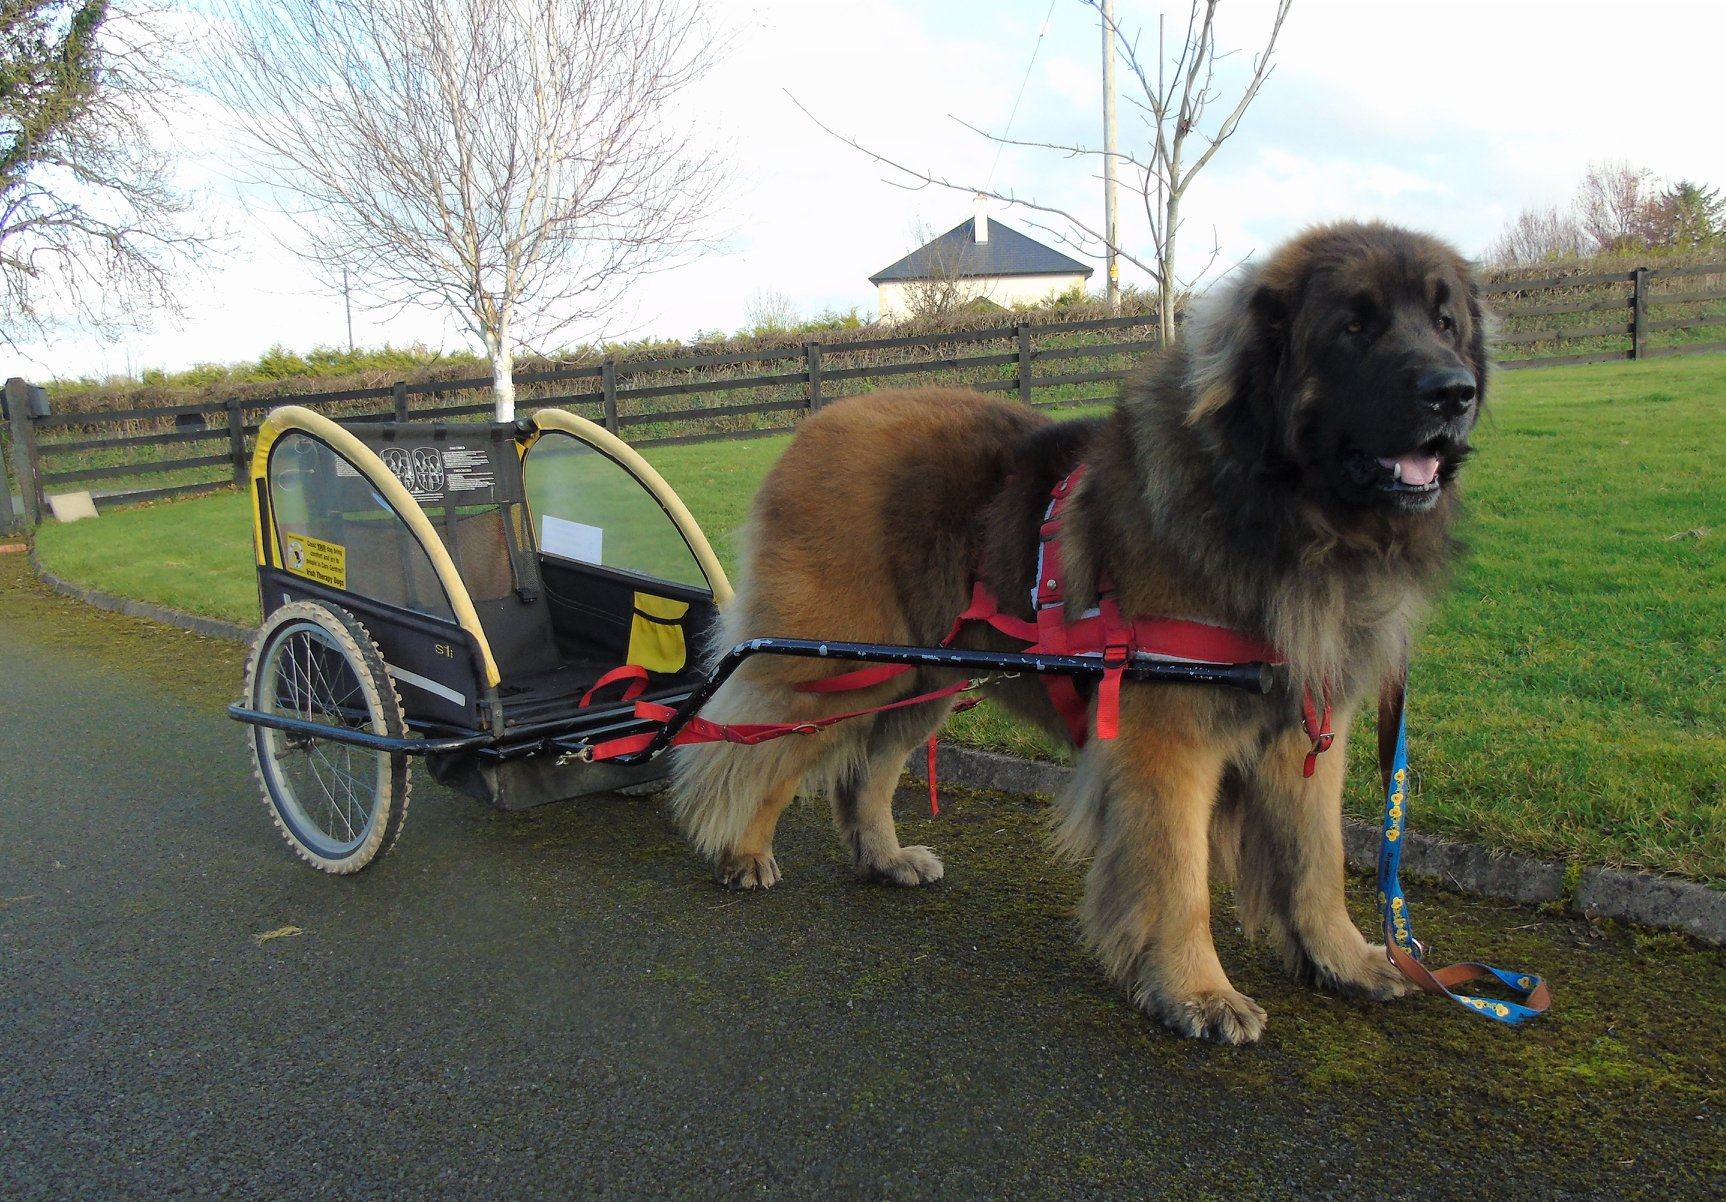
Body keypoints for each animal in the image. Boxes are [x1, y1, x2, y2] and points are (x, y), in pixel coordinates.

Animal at [669, 222, 1484, 1043]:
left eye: (1445, 322)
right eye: (1354, 327)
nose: (1455, 392)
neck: (1286, 516)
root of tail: (814, 424)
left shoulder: (1308, 731)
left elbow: (1317, 860)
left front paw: (1344, 960)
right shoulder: (1166, 741)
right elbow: (1178, 875)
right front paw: (1197, 992)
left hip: (922, 674)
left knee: (866, 768)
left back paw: (884, 857)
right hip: (834, 666)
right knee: (752, 751)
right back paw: (743, 850)